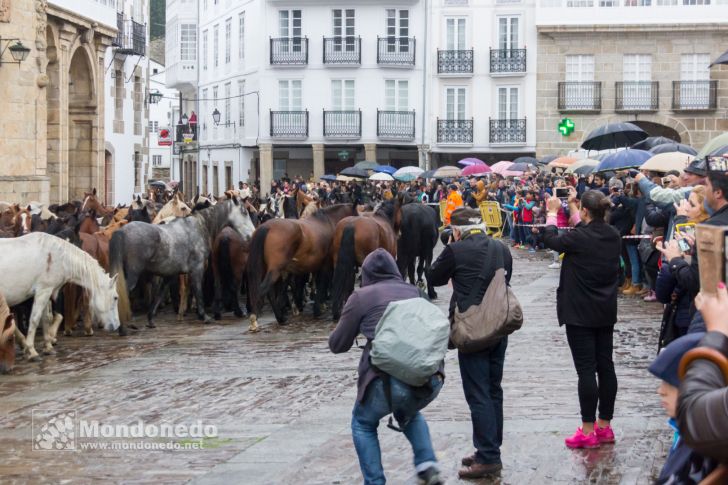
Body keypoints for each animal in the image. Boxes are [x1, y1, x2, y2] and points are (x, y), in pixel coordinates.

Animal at [0, 231, 121, 360]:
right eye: (115, 297)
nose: (117, 325)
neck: (57, 257)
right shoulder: (43, 291)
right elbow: (35, 319)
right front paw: (32, 351)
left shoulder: (46, 293)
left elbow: (46, 319)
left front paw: (48, 347)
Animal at [108, 195, 256, 328]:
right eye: (244, 212)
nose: (252, 234)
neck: (200, 226)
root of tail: (121, 232)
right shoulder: (197, 269)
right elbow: (198, 291)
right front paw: (203, 316)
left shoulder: (169, 274)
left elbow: (159, 295)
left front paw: (151, 319)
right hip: (132, 275)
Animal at [246, 202, 356, 330]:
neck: (326, 222)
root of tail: (266, 227)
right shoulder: (325, 265)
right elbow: (321, 284)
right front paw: (317, 309)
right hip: (275, 270)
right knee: (264, 289)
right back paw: (256, 319)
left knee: (270, 292)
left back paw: (280, 317)